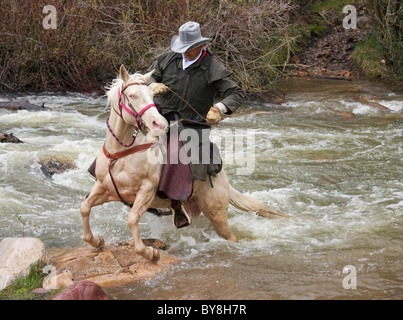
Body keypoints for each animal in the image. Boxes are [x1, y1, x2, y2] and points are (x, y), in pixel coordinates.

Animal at [81, 65, 290, 262]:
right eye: (132, 95)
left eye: (151, 95)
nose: (158, 124)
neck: (122, 153)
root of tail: (222, 176)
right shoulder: (104, 188)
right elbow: (85, 207)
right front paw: (97, 240)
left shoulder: (146, 191)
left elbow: (132, 219)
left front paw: (150, 253)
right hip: (194, 208)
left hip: (217, 213)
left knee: (231, 237)